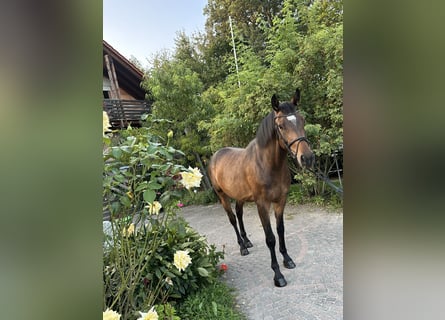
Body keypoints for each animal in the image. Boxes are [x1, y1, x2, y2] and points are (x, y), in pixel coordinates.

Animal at [207, 88, 314, 288]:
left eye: (302, 120)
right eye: (281, 126)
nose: (307, 158)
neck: (268, 165)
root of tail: (215, 156)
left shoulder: (280, 201)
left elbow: (281, 230)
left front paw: (287, 260)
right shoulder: (262, 204)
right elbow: (270, 238)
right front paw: (278, 275)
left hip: (239, 196)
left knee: (239, 214)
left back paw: (247, 241)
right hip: (222, 196)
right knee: (232, 218)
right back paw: (242, 247)